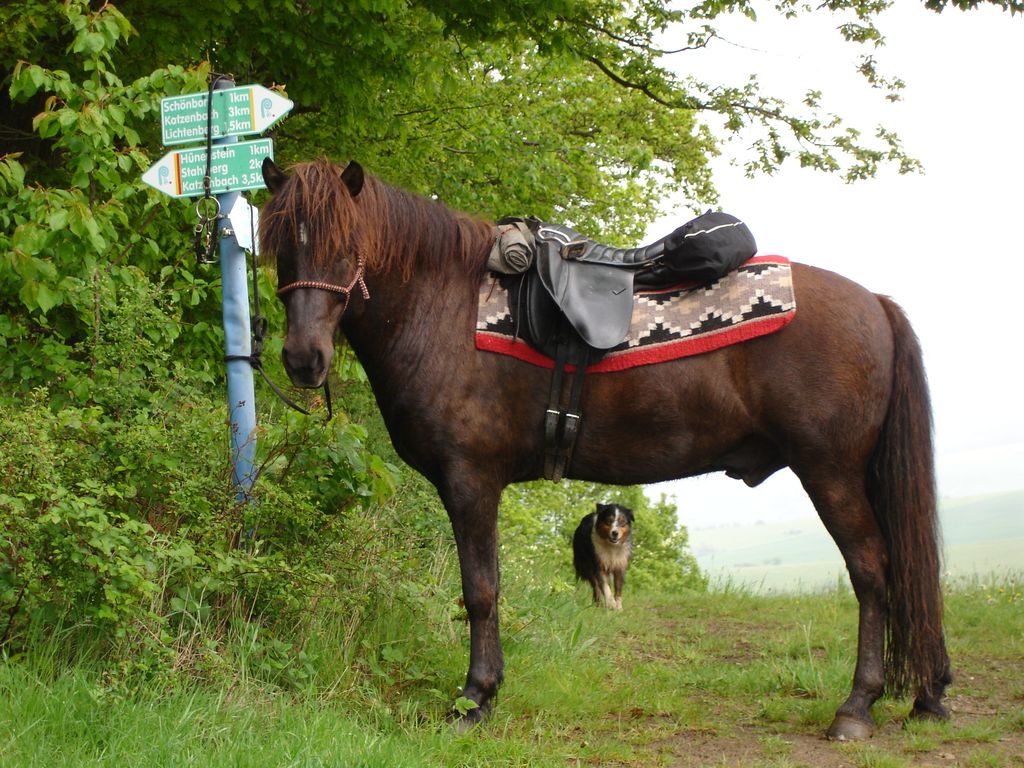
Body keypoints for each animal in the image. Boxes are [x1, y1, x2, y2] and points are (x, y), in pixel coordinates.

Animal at [258, 156, 950, 741]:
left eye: (347, 246)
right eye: (281, 244)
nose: (302, 358)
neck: (445, 309)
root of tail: (875, 304)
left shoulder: (469, 481)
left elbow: (480, 589)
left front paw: (474, 699)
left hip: (831, 472)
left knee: (873, 571)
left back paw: (857, 706)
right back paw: (929, 694)